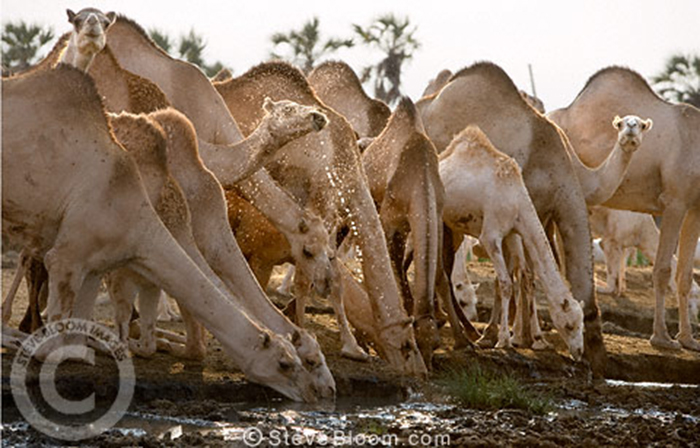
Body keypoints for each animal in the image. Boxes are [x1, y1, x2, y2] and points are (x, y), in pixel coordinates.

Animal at [215, 61, 426, 376]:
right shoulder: (317, 204)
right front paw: (305, 332)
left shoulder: (329, 215)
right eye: (408, 346)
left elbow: (334, 276)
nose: (422, 371)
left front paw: (353, 348)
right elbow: (307, 277)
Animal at [442, 126, 584, 360]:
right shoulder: (490, 236)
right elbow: (506, 283)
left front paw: (536, 340)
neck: (516, 199)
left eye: (582, 325)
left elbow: (524, 279)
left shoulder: (512, 233)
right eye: (570, 325)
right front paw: (503, 340)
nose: (579, 352)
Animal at [548, 67, 700, 354]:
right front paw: (662, 338)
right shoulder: (674, 201)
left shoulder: (694, 206)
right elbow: (662, 270)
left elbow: (684, 275)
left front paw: (688, 339)